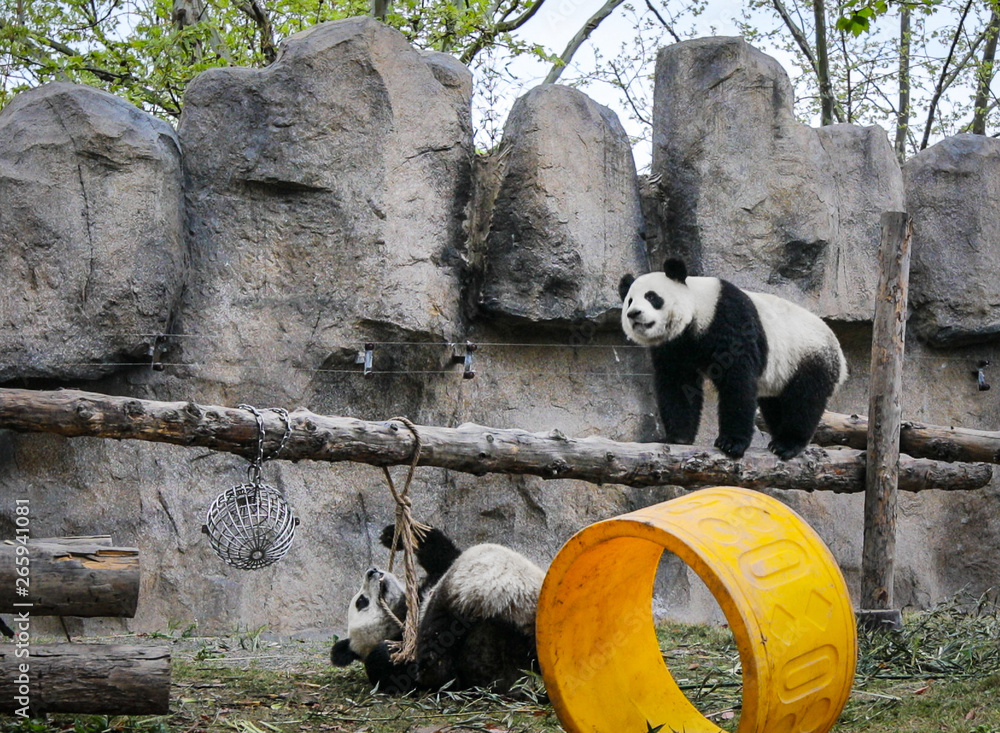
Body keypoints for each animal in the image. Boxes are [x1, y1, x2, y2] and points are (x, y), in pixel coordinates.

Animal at [330, 525, 544, 694]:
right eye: (361, 601)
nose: (372, 571)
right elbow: (415, 675)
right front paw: (387, 652)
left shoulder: (428, 584)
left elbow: (443, 555)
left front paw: (396, 534)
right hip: (488, 645)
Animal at [619, 258, 847, 460]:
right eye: (629, 301)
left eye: (652, 297)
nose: (634, 313)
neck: (699, 311)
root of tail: (841, 357)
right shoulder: (675, 345)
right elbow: (677, 383)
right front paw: (678, 437)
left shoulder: (730, 320)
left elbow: (737, 380)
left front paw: (731, 442)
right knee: (776, 405)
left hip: (809, 355)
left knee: (804, 400)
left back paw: (787, 444)